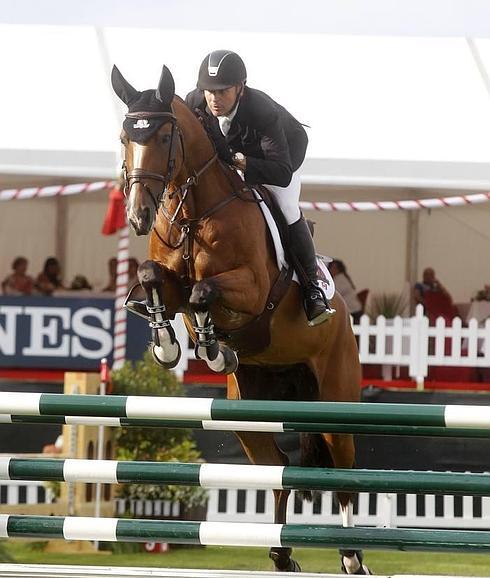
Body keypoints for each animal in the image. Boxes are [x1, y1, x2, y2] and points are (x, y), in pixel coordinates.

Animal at [112, 64, 372, 572]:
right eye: (123, 137)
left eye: (164, 137)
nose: (137, 216)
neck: (194, 212)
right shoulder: (167, 281)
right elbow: (153, 277)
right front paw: (168, 345)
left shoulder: (250, 290)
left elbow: (203, 291)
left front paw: (213, 350)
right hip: (250, 415)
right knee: (278, 473)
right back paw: (281, 553)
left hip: (336, 400)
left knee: (344, 473)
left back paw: (352, 557)